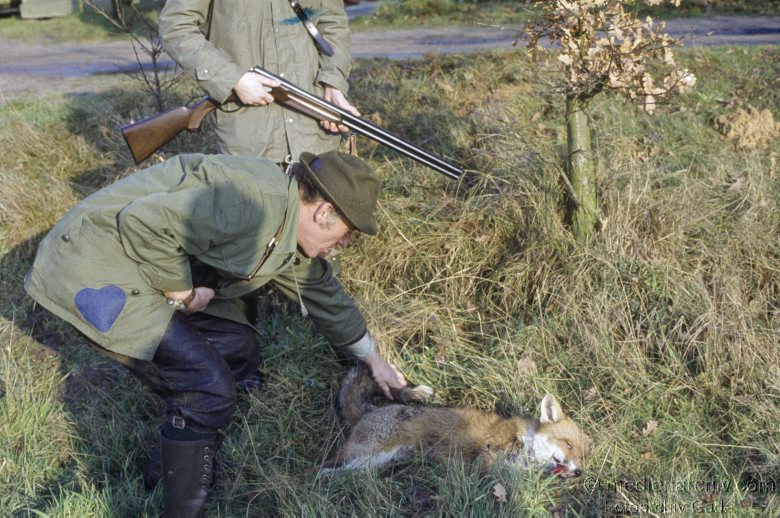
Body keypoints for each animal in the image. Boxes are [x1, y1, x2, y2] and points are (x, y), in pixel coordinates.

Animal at [322, 366, 592, 480]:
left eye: (582, 456)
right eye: (568, 444)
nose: (579, 472)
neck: (525, 443)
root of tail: (369, 412)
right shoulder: (486, 458)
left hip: (372, 462)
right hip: (362, 455)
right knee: (322, 468)